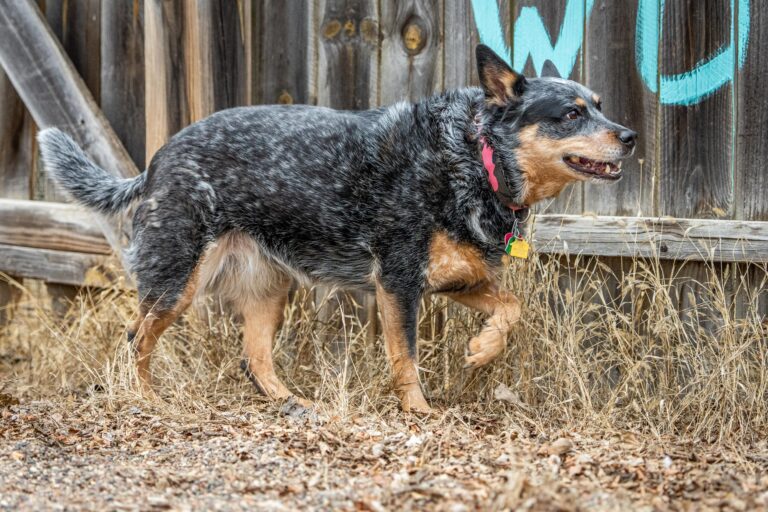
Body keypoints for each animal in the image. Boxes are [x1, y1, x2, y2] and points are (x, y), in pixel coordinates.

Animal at [38, 45, 635, 413]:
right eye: (570, 114)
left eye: (600, 106)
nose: (629, 135)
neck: (474, 156)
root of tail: (156, 160)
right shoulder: (398, 281)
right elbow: (405, 358)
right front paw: (419, 411)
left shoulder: (455, 278)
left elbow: (513, 308)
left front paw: (483, 349)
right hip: (176, 281)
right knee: (135, 338)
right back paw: (145, 399)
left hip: (269, 287)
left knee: (253, 356)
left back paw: (292, 404)